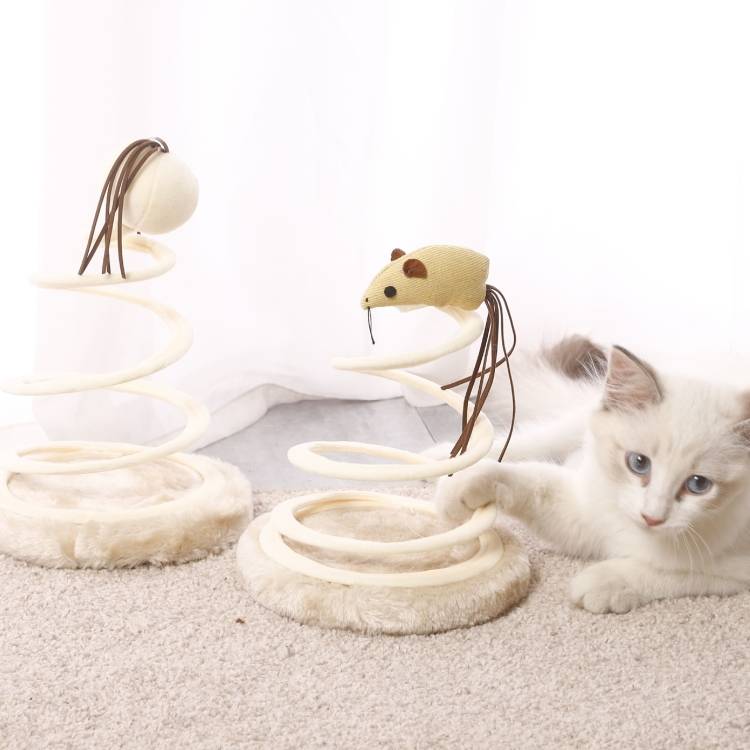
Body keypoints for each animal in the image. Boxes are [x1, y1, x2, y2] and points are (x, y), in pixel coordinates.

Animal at [434, 337, 750, 613]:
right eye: (638, 463)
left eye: (698, 484)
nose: (651, 518)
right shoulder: (586, 509)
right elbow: (526, 481)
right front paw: (463, 486)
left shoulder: (732, 568)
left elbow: (667, 572)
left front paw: (601, 583)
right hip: (574, 424)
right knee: (541, 438)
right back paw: (446, 458)